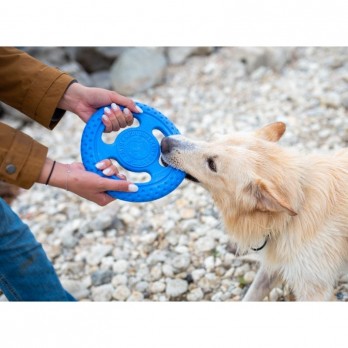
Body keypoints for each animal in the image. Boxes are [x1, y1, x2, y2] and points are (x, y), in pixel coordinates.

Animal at [161, 123, 348, 302]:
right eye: (211, 139)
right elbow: (251, 295)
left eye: (212, 164)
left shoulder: (313, 288)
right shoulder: (273, 267)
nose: (164, 142)